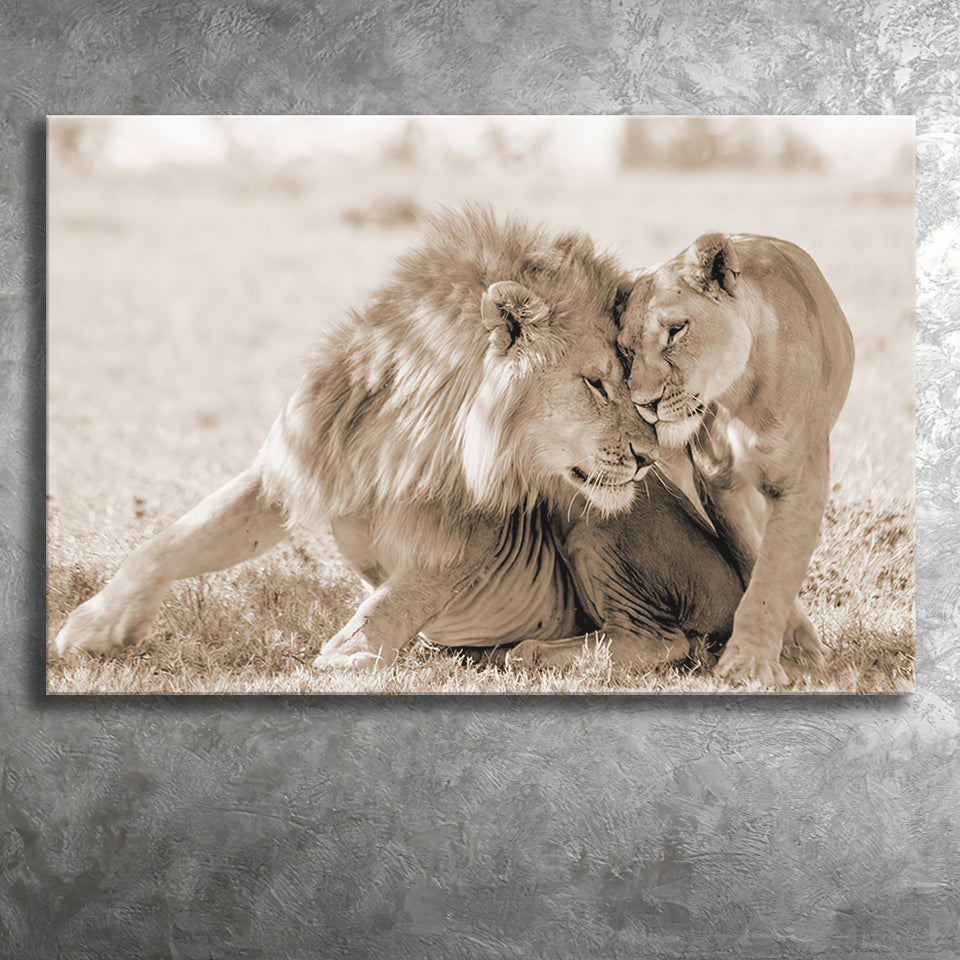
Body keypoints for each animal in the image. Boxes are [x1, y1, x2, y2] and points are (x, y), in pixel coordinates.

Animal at [53, 206, 670, 670]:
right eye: (596, 383)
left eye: (632, 380)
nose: (649, 456)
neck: (408, 432)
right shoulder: (292, 464)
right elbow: (173, 539)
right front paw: (95, 625)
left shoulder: (477, 533)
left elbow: (402, 594)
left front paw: (349, 652)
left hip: (594, 521)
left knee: (661, 639)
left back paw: (532, 651)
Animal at [613, 233, 854, 686]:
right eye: (626, 350)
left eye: (676, 331)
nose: (645, 404)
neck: (738, 394)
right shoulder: (717, 483)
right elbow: (754, 558)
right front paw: (783, 646)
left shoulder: (800, 483)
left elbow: (773, 573)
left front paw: (750, 662)